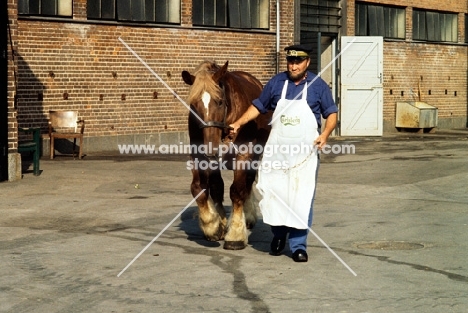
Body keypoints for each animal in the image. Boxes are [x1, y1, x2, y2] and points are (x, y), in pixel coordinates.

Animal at [182, 61, 272, 250]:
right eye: (194, 104)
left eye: (220, 101)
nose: (210, 149)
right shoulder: (198, 155)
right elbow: (200, 188)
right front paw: (213, 225)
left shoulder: (244, 155)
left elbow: (237, 191)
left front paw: (235, 234)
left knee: (247, 183)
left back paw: (248, 217)